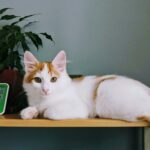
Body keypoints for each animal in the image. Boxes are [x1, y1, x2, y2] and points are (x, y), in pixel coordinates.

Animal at [20, 50, 150, 122]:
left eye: (54, 79)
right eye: (38, 80)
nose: (46, 90)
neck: (44, 100)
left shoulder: (79, 107)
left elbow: (49, 111)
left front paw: (42, 112)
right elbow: (28, 110)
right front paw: (31, 112)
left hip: (105, 95)